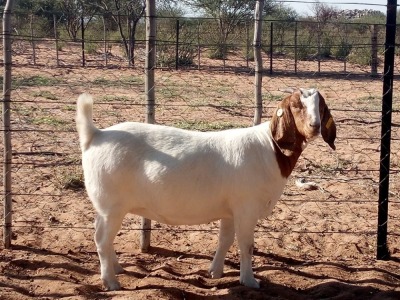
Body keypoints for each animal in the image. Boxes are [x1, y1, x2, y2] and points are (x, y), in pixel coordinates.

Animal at [76, 88, 336, 290]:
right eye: (296, 105)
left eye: (321, 106)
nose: (315, 126)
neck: (270, 148)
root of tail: (96, 135)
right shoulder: (246, 208)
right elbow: (246, 245)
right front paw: (250, 281)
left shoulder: (230, 211)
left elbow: (225, 240)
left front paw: (215, 272)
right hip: (112, 206)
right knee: (102, 240)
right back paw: (111, 282)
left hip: (105, 207)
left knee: (102, 236)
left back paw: (117, 268)